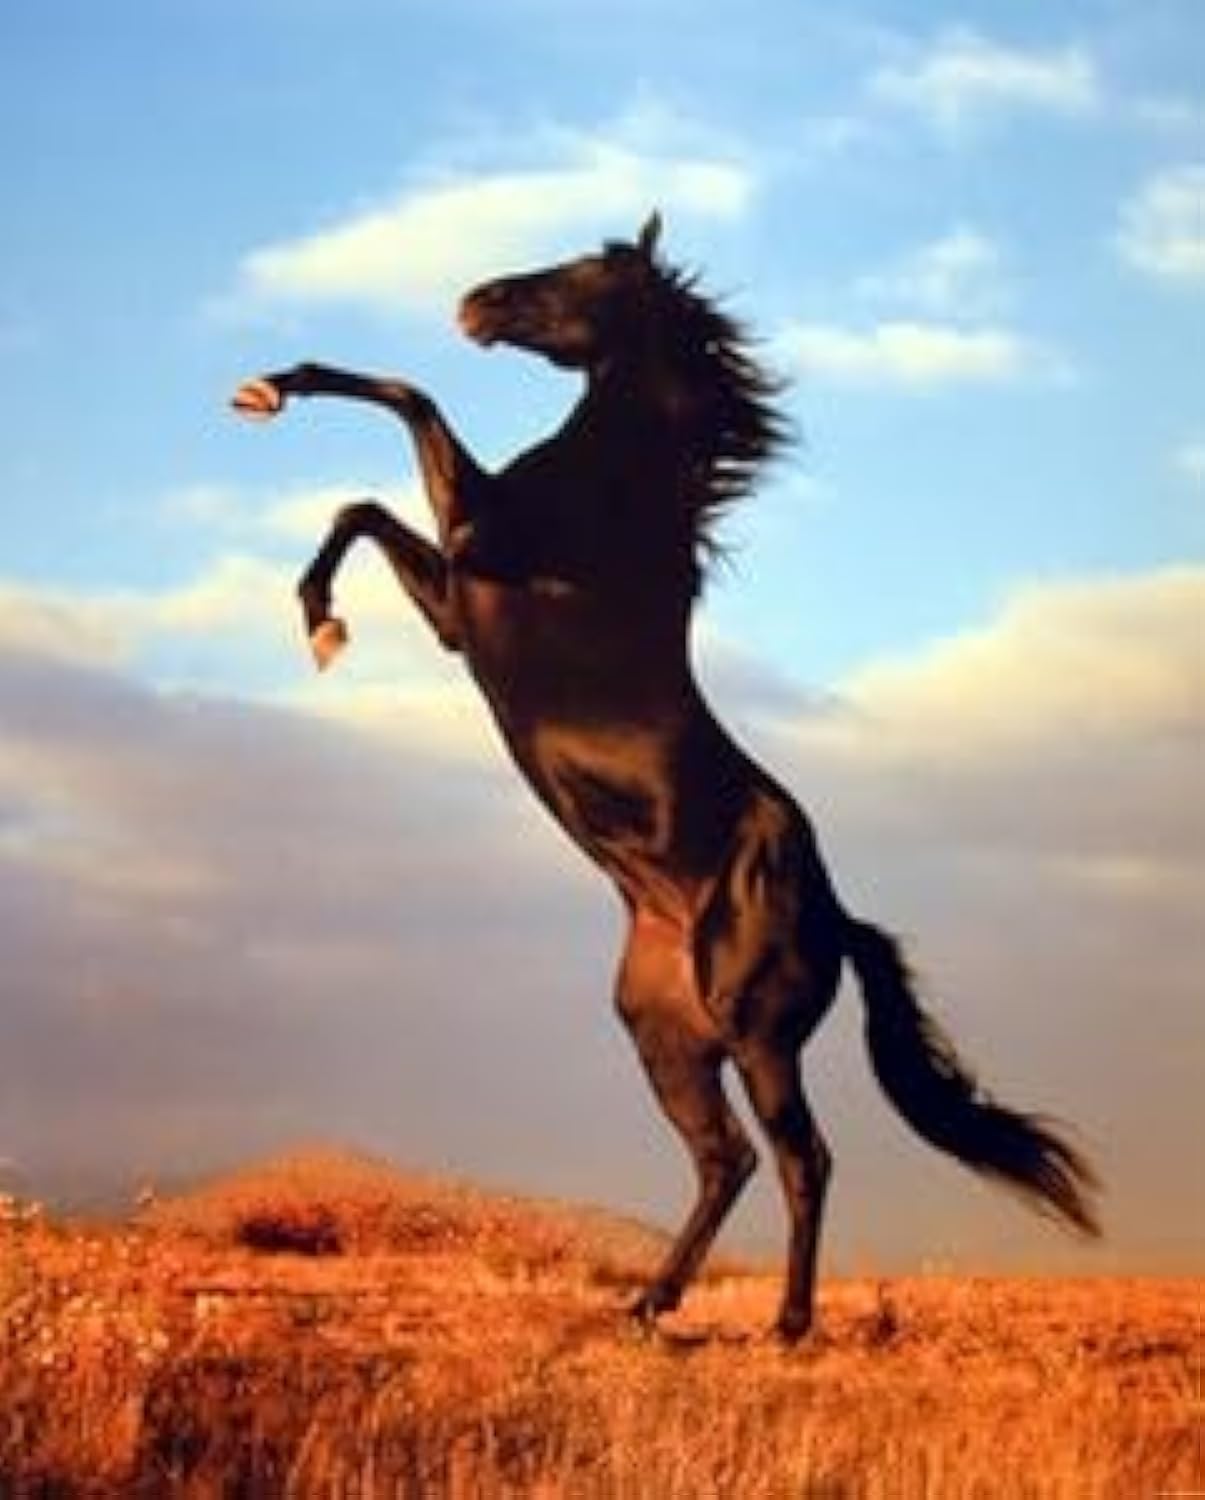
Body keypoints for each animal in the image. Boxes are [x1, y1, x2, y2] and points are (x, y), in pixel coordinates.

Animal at [232, 212, 1099, 1340]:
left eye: (583, 275)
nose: (474, 301)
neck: (620, 494)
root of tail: (841, 919)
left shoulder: (478, 546)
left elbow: (404, 413)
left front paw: (313, 590)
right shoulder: (460, 608)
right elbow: (366, 497)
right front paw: (304, 547)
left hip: (758, 1036)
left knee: (801, 1158)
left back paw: (785, 1326)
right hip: (665, 1036)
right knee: (724, 1159)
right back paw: (649, 1303)